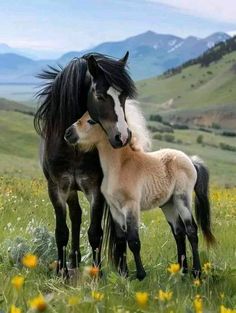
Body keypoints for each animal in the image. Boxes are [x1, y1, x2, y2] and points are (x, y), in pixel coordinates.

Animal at [33, 52, 136, 274]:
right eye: (100, 96)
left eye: (123, 97)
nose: (123, 137)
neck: (74, 148)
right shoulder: (57, 188)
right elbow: (62, 231)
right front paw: (61, 271)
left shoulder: (96, 190)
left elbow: (95, 232)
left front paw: (97, 274)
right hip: (71, 189)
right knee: (76, 215)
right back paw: (74, 260)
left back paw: (122, 267)